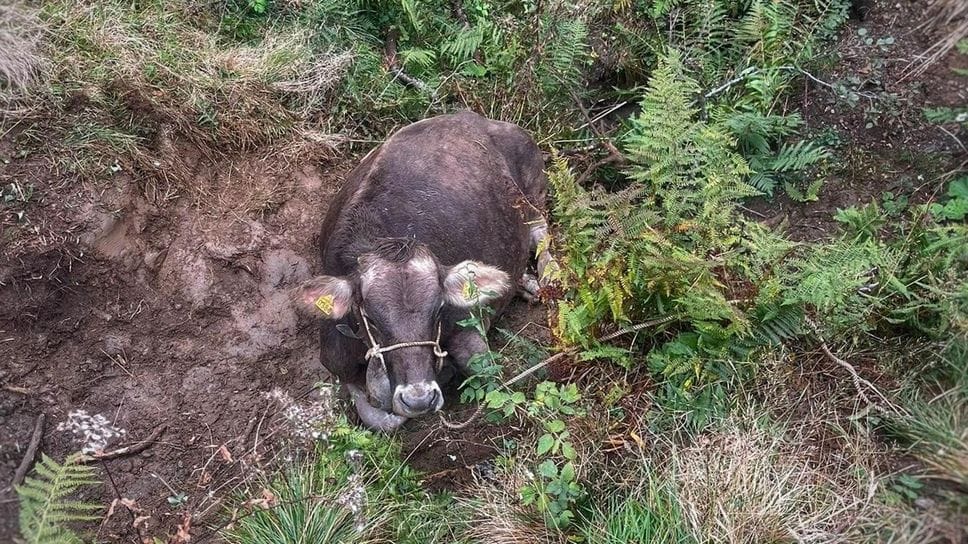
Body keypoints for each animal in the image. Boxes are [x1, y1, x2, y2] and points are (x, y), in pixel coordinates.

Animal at [292, 111, 551, 432]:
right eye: (371, 319)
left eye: (438, 309)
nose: (419, 399)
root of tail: (472, 116)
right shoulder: (334, 355)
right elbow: (378, 415)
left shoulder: (469, 327)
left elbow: (487, 373)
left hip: (532, 189)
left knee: (540, 230)